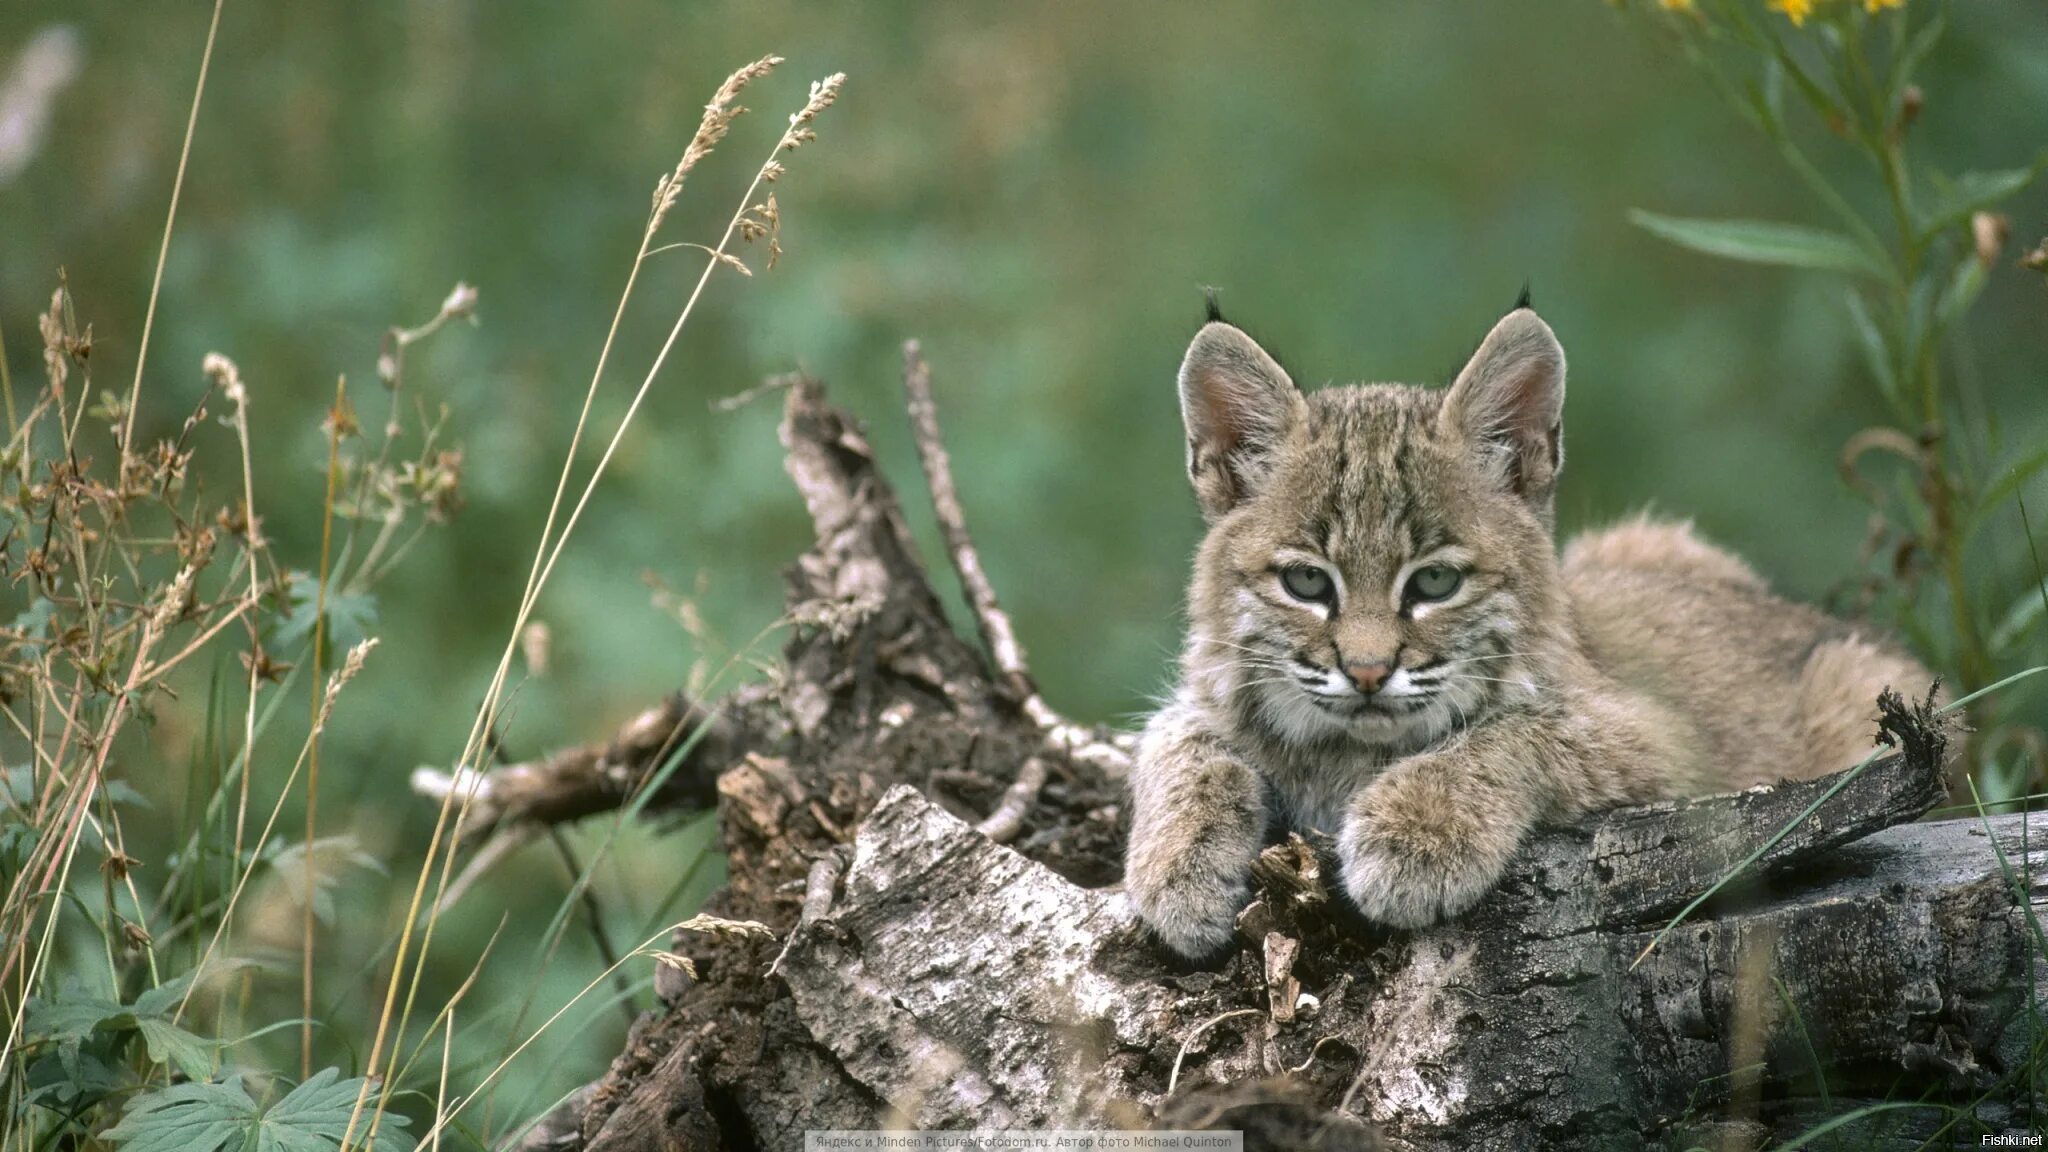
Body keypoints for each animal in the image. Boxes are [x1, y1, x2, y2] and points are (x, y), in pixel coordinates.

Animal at [1130, 301, 1925, 955]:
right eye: (1305, 584)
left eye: (1435, 584)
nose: (1367, 673)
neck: (1347, 754)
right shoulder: (1211, 692)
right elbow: (1176, 737)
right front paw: (1174, 866)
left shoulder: (1672, 749)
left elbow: (1519, 729)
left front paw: (1416, 829)